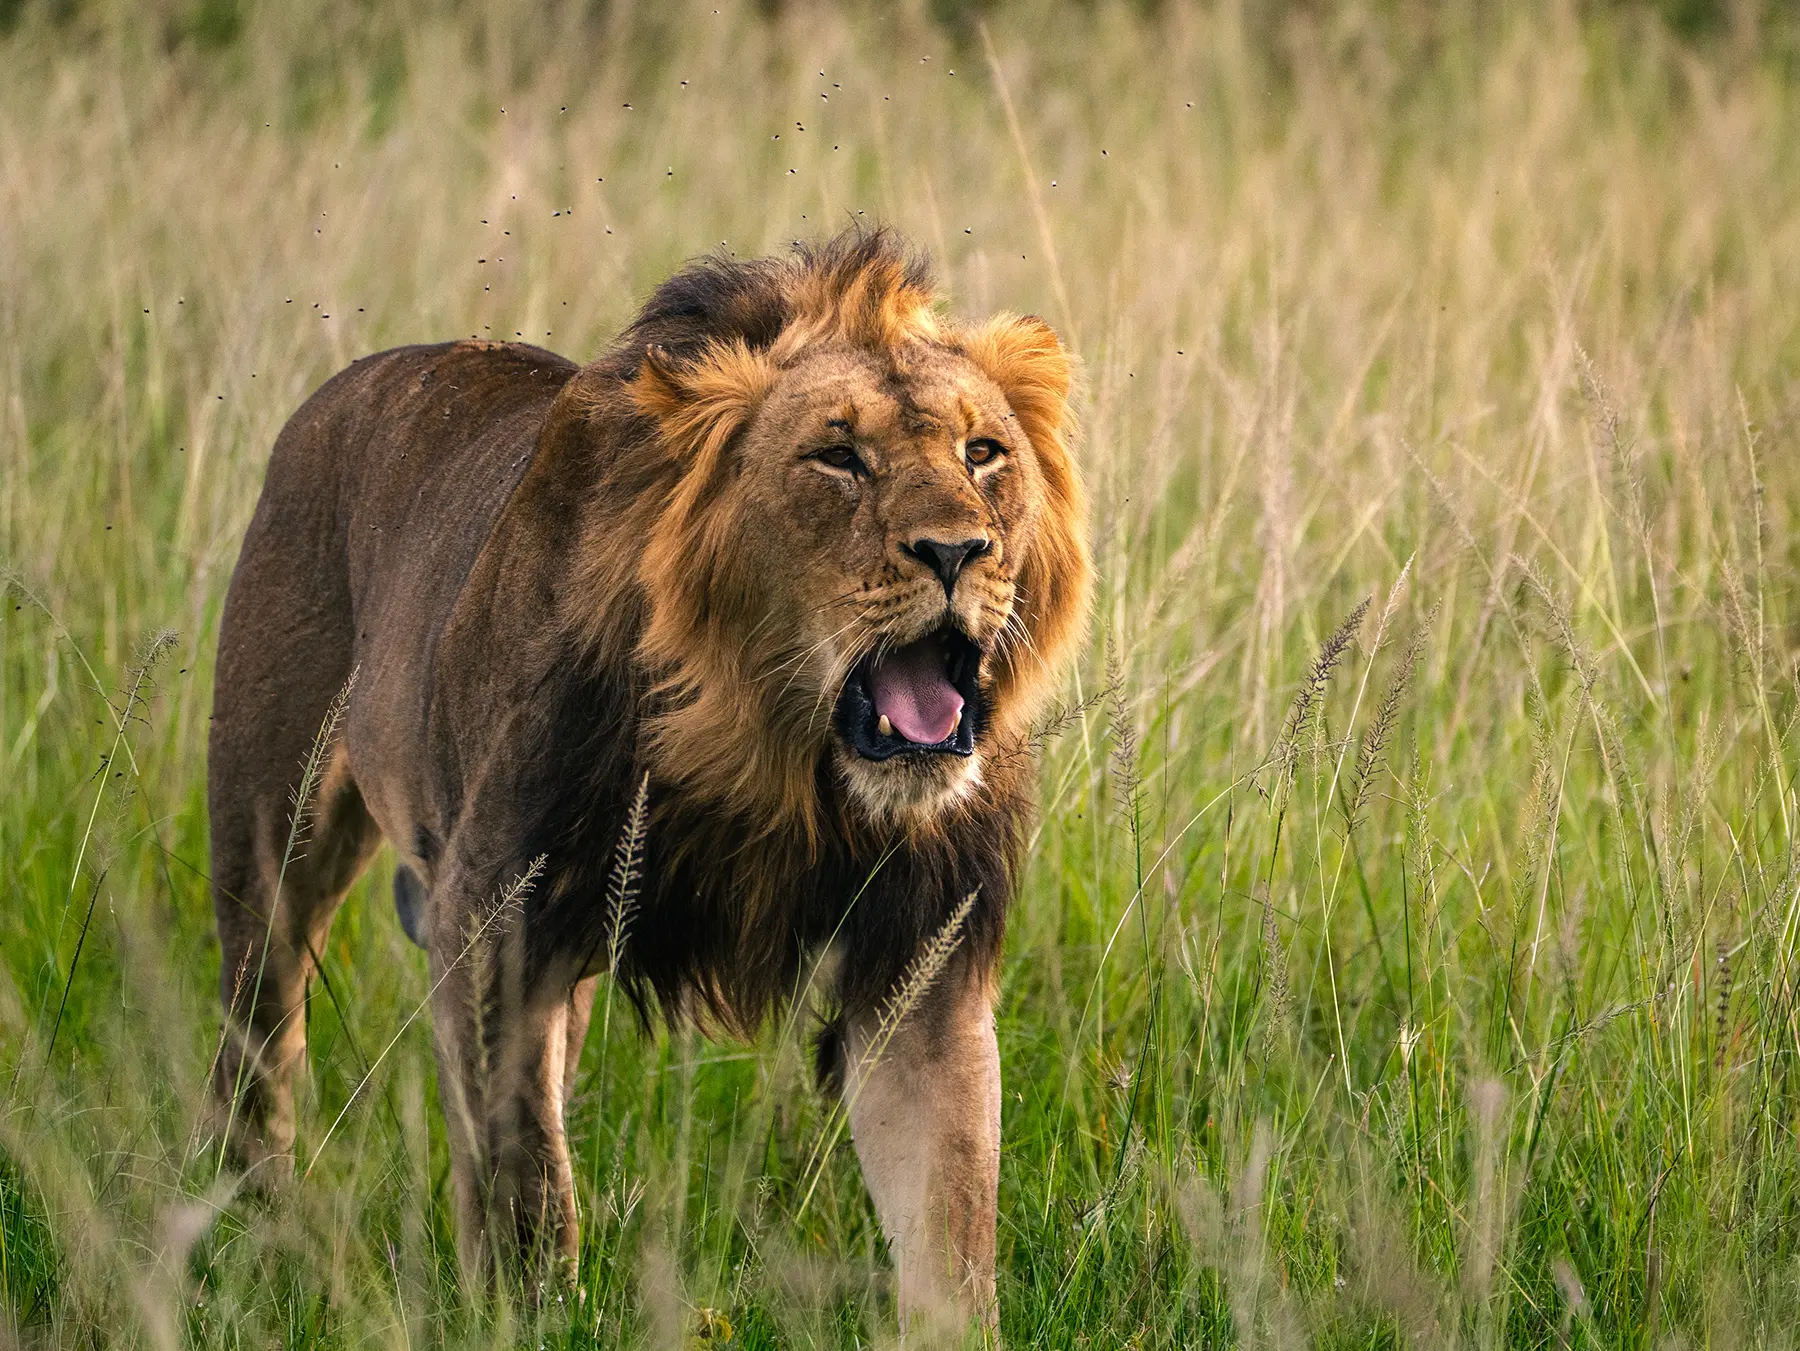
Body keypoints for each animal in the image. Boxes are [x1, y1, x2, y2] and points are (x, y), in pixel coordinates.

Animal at [208, 227, 1090, 1330]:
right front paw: (531, 1319)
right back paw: (249, 1222)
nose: (958, 550)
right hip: (271, 834)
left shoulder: (922, 952)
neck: (775, 764)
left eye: (983, 453)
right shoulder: (494, 920)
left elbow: (951, 1222)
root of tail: (341, 388)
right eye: (838, 457)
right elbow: (526, 1182)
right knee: (258, 1031)